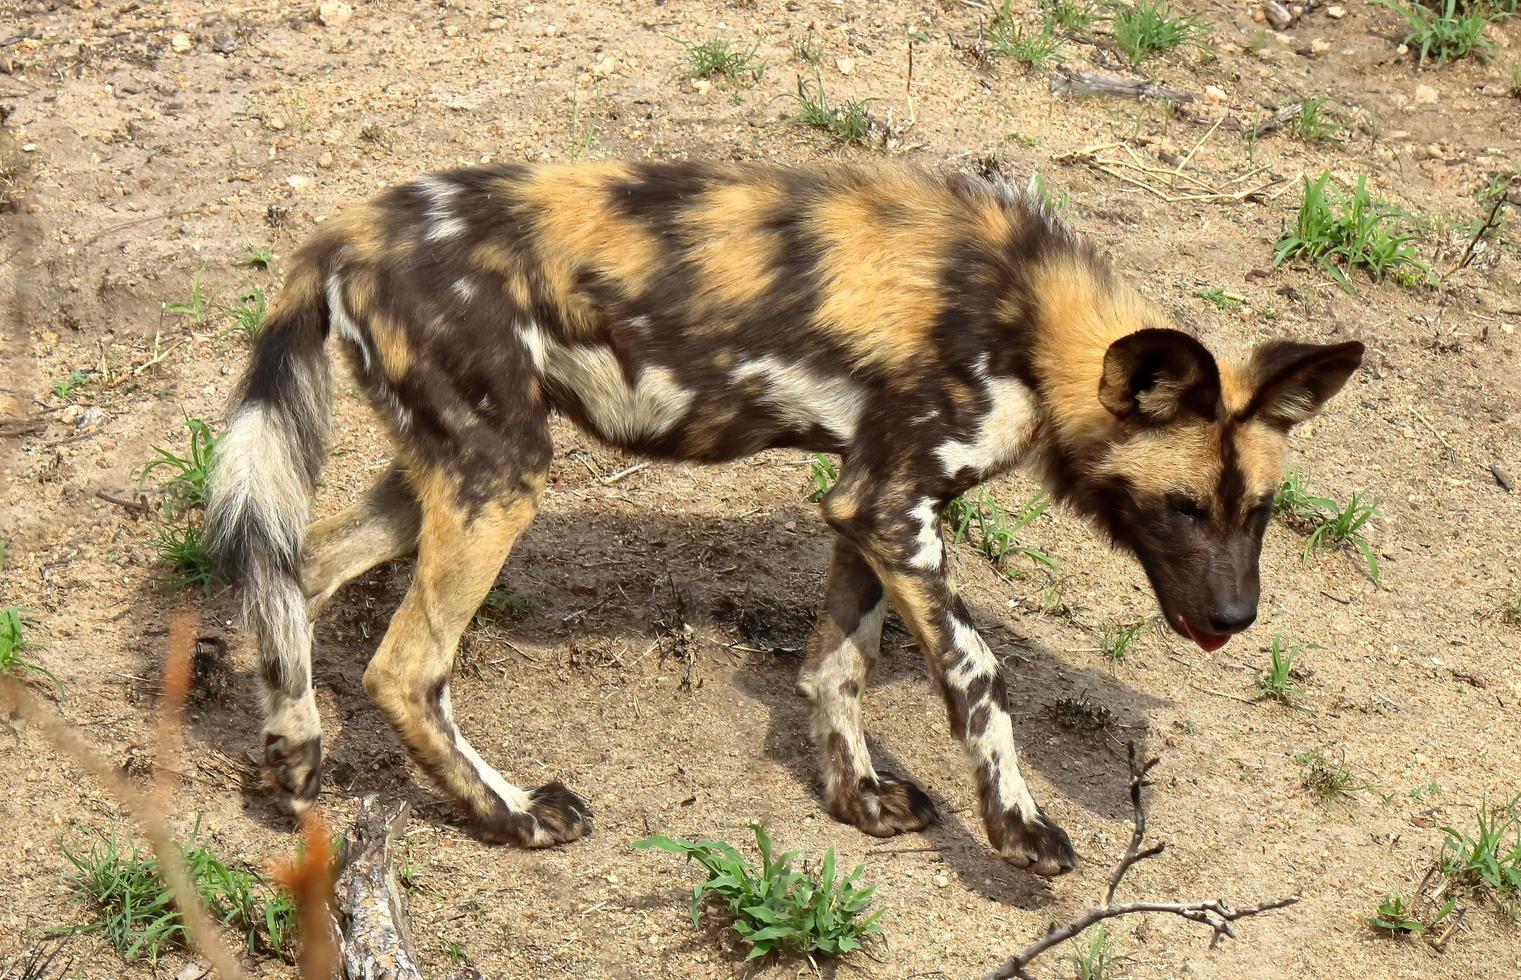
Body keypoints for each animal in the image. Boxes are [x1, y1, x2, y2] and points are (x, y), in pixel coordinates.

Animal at [205, 162, 1368, 882]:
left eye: (1257, 512)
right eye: (1179, 507)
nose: (1235, 617)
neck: (1030, 320)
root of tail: (348, 230)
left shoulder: (872, 506)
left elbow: (835, 664)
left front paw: (856, 796)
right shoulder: (894, 508)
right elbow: (980, 677)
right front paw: (1019, 826)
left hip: (449, 473)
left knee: (295, 576)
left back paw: (291, 762)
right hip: (504, 478)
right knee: (406, 668)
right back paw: (515, 814)